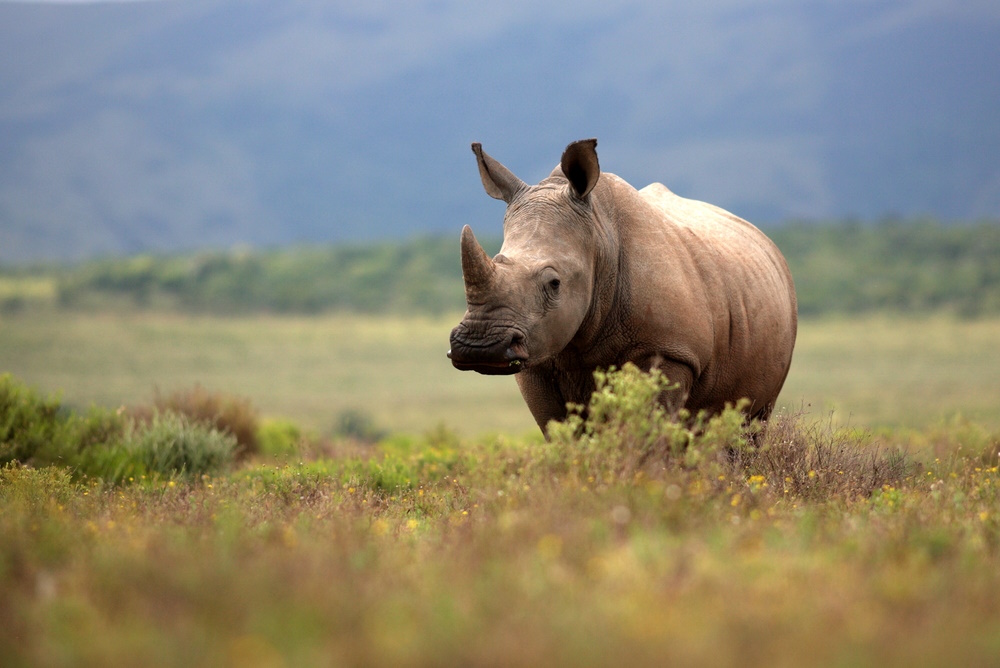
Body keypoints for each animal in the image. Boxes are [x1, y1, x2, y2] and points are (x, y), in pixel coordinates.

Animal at [448, 138, 797, 434]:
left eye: (555, 283)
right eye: (497, 259)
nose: (480, 347)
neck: (600, 237)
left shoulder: (669, 351)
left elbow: (649, 432)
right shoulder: (537, 360)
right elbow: (563, 433)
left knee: (749, 426)